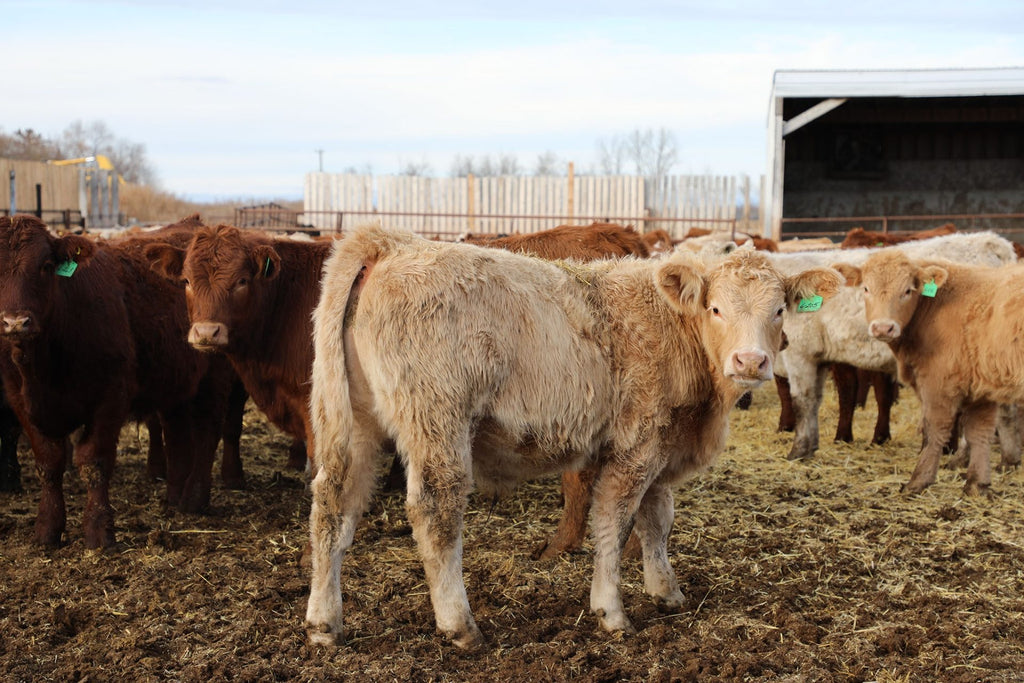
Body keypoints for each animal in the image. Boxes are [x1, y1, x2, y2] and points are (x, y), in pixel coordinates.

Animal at [0, 215, 235, 548]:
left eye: (45, 265)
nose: (16, 322)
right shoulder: (19, 402)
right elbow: (49, 462)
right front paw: (47, 528)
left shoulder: (111, 396)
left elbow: (94, 461)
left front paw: (99, 531)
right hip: (175, 381)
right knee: (177, 434)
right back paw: (174, 496)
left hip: (213, 375)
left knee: (207, 432)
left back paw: (193, 499)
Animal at [304, 224, 841, 649]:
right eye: (715, 308)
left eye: (779, 309)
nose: (751, 361)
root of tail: (392, 242)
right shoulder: (636, 447)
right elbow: (615, 522)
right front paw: (612, 610)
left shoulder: (663, 448)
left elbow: (658, 522)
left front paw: (666, 591)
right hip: (438, 422)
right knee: (435, 512)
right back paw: (460, 626)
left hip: (353, 422)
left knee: (333, 504)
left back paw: (324, 622)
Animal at [769, 231, 1016, 461]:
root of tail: (992, 242)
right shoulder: (817, 356)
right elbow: (814, 402)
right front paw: (810, 447)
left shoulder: (799, 354)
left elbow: (802, 401)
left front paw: (798, 451)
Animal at [833, 251, 1024, 494]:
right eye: (866, 288)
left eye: (907, 290)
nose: (883, 327)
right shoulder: (981, 390)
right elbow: (979, 433)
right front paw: (976, 484)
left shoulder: (938, 383)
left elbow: (934, 430)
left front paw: (918, 480)